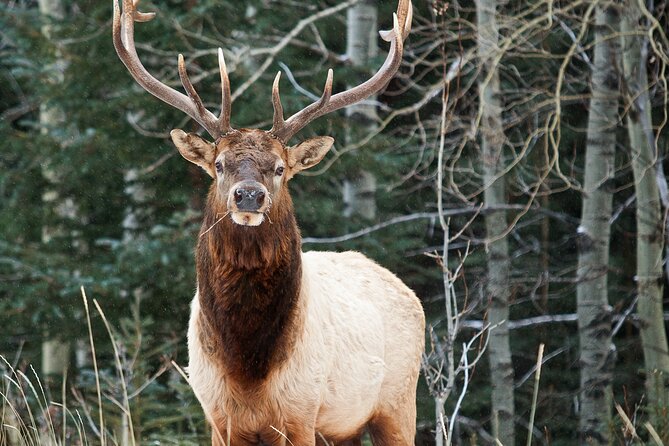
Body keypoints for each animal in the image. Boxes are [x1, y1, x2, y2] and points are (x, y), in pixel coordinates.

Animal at [109, 1, 422, 444]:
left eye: (279, 168)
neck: (247, 368)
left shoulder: (300, 411)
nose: (249, 196)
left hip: (397, 402)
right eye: (219, 165)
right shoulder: (217, 415)